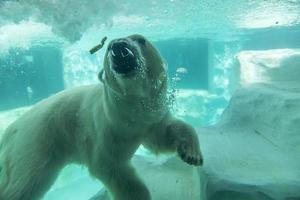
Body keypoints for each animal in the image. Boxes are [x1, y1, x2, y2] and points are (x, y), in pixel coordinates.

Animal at [0, 34, 204, 200]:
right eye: (108, 47)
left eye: (141, 40)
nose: (118, 46)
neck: (131, 112)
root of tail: (12, 128)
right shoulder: (108, 128)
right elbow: (109, 164)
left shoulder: (150, 118)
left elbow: (162, 136)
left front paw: (192, 155)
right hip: (38, 139)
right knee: (27, 181)